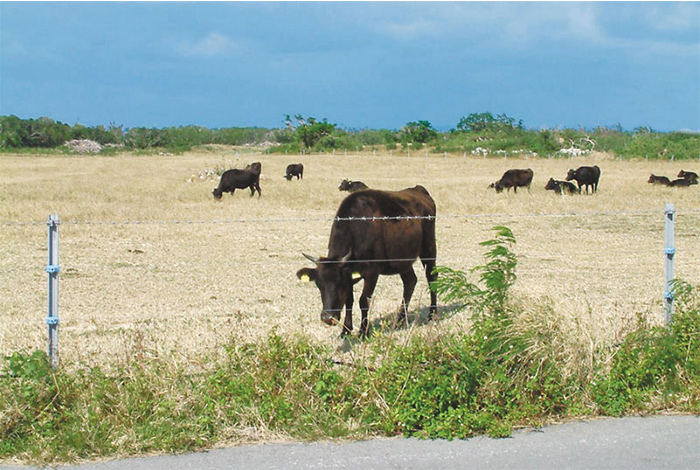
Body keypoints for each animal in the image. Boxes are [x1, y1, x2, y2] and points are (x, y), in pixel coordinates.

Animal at [296, 185, 438, 336]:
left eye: (339, 283)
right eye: (319, 284)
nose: (327, 318)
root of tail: (418, 190)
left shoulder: (372, 273)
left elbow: (363, 301)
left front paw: (363, 331)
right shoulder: (350, 276)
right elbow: (349, 300)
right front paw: (346, 329)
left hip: (429, 249)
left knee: (431, 277)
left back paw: (432, 314)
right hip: (402, 260)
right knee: (410, 281)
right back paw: (400, 319)